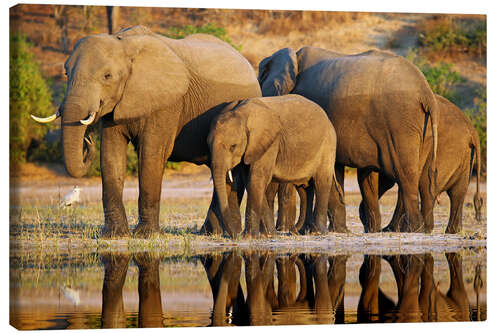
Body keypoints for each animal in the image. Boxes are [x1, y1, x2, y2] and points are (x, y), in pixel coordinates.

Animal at [29, 25, 262, 239]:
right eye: (66, 73)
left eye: (107, 76)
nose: (88, 141)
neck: (124, 44)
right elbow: (111, 156)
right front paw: (115, 235)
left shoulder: (166, 103)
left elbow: (151, 155)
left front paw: (146, 235)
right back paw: (212, 232)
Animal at [205, 94, 342, 237]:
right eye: (208, 145)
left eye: (233, 146)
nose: (235, 235)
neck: (242, 113)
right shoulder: (250, 149)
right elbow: (251, 181)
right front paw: (269, 234)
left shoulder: (269, 143)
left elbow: (257, 179)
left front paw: (250, 237)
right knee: (305, 189)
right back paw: (304, 232)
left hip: (328, 145)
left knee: (321, 183)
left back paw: (318, 232)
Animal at [258, 46, 438, 233]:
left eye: (261, 76)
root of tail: (427, 94)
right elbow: (334, 170)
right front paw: (338, 230)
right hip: (419, 129)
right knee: (398, 175)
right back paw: (386, 229)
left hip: (400, 124)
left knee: (404, 174)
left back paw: (410, 229)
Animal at [358, 93, 482, 233]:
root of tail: (473, 132)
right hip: (464, 156)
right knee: (457, 193)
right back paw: (450, 231)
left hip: (446, 151)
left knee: (427, 188)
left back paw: (422, 229)